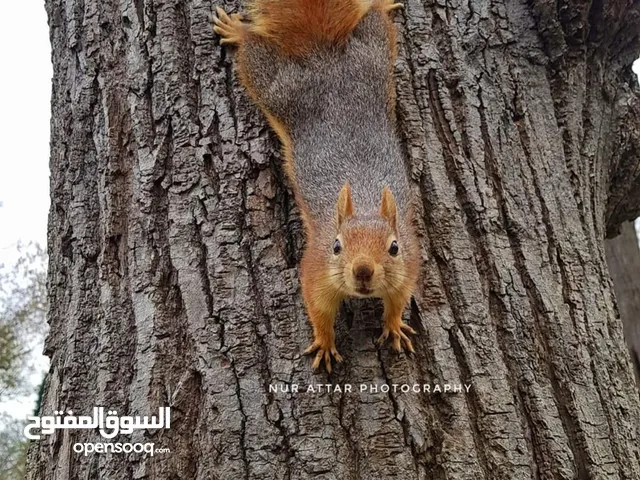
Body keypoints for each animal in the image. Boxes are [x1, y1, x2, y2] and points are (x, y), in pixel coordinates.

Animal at [215, 0, 420, 372]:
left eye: (394, 247)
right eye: (336, 246)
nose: (363, 270)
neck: (365, 201)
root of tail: (322, 53)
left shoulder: (409, 264)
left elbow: (399, 298)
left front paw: (394, 324)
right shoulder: (316, 267)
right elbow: (317, 306)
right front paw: (324, 342)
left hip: (375, 52)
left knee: (375, 22)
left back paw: (381, 4)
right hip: (276, 86)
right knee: (252, 54)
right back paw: (238, 32)